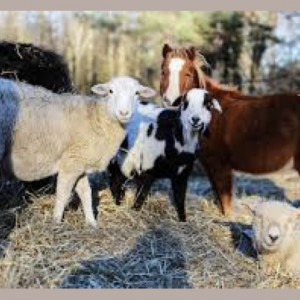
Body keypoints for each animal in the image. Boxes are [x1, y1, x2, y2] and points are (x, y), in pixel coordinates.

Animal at [0, 76, 155, 226]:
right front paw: (56, 221)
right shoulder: (70, 163)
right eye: (111, 91)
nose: (124, 112)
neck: (98, 118)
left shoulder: (80, 163)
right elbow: (63, 194)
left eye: (137, 93)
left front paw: (91, 222)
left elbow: (86, 193)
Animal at [107, 88, 220, 221]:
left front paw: (183, 220)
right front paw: (135, 213)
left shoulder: (182, 173)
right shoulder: (147, 168)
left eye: (208, 105)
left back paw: (117, 203)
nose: (195, 119)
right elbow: (141, 196)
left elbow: (180, 198)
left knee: (117, 180)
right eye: (185, 103)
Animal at [161, 42, 300, 216]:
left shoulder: (220, 164)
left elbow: (226, 201)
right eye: (164, 71)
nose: (171, 102)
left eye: (188, 74)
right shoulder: (210, 164)